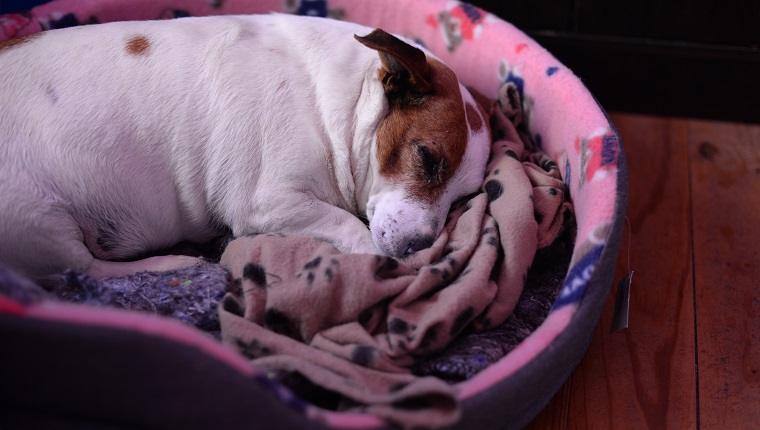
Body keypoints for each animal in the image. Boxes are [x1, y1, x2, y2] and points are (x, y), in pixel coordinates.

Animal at [0, 13, 490, 284]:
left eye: (463, 199)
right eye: (425, 157)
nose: (419, 248)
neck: (342, 104)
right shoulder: (266, 202)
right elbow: (350, 227)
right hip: (40, 219)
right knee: (85, 270)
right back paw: (172, 265)